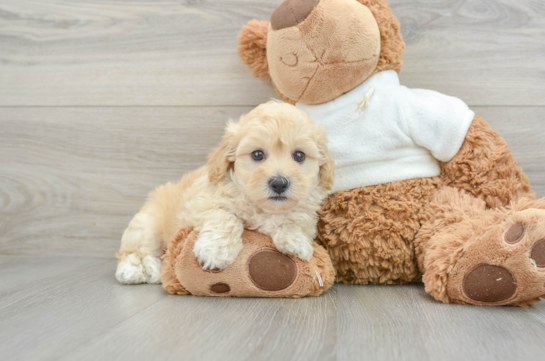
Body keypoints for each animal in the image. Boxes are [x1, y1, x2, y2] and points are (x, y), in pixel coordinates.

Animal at [117, 100, 334, 284]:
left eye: (299, 156)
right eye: (257, 154)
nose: (279, 183)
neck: (263, 207)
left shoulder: (306, 211)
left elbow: (296, 219)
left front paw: (296, 241)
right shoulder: (202, 203)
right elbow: (226, 217)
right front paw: (216, 251)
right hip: (147, 227)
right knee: (135, 251)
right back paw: (138, 270)